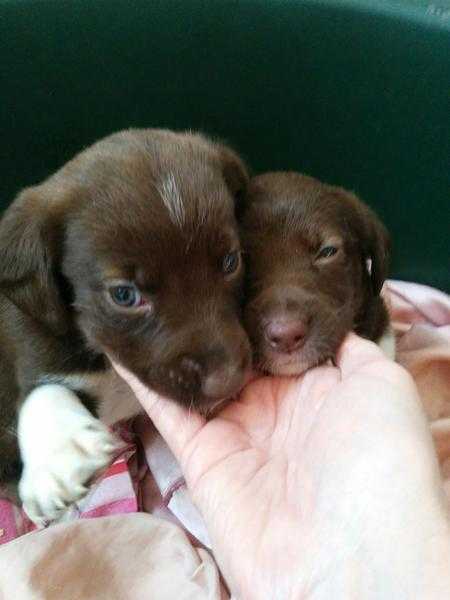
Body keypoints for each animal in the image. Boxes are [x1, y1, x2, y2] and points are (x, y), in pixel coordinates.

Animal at [0, 127, 250, 524]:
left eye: (230, 261)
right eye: (124, 295)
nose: (227, 381)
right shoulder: (30, 342)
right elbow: (41, 391)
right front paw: (61, 453)